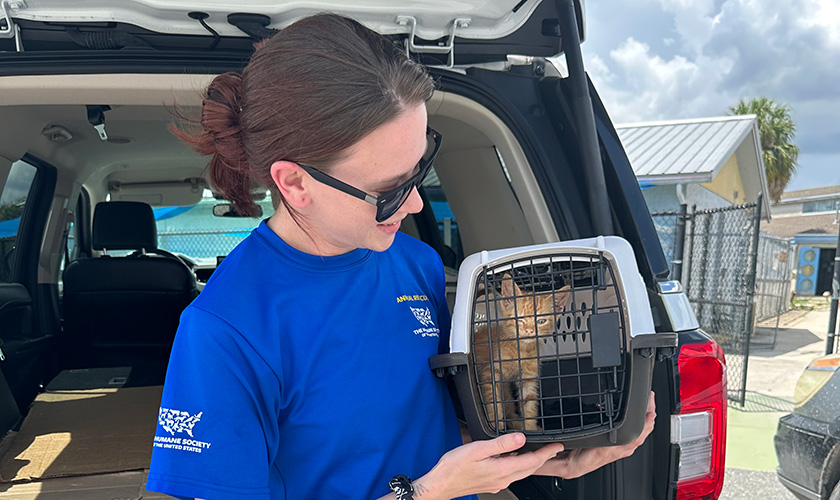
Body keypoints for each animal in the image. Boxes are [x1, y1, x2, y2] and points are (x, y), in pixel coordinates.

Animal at [472, 276, 572, 432]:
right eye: (519, 318)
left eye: (541, 321)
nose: (529, 330)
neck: (521, 349)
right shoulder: (490, 373)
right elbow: (493, 399)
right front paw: (496, 425)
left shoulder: (528, 378)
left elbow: (528, 404)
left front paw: (530, 428)